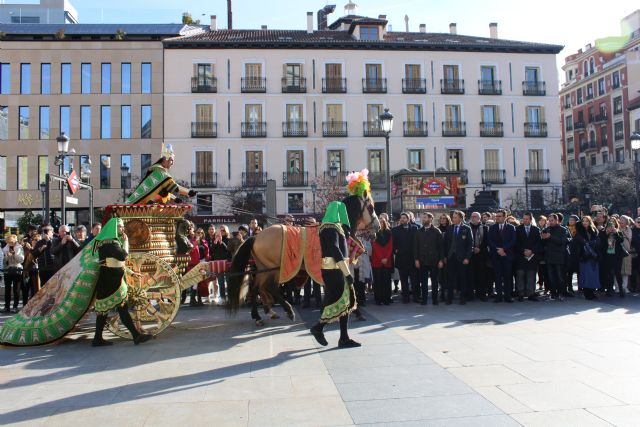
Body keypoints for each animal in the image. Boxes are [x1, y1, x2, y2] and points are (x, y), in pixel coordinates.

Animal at [226, 192, 380, 326]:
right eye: (371, 207)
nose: (377, 227)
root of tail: (256, 237)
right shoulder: (340, 265)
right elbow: (346, 286)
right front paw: (354, 311)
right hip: (273, 269)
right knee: (269, 288)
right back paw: (285, 311)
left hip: (264, 268)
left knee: (257, 288)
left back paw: (262, 314)